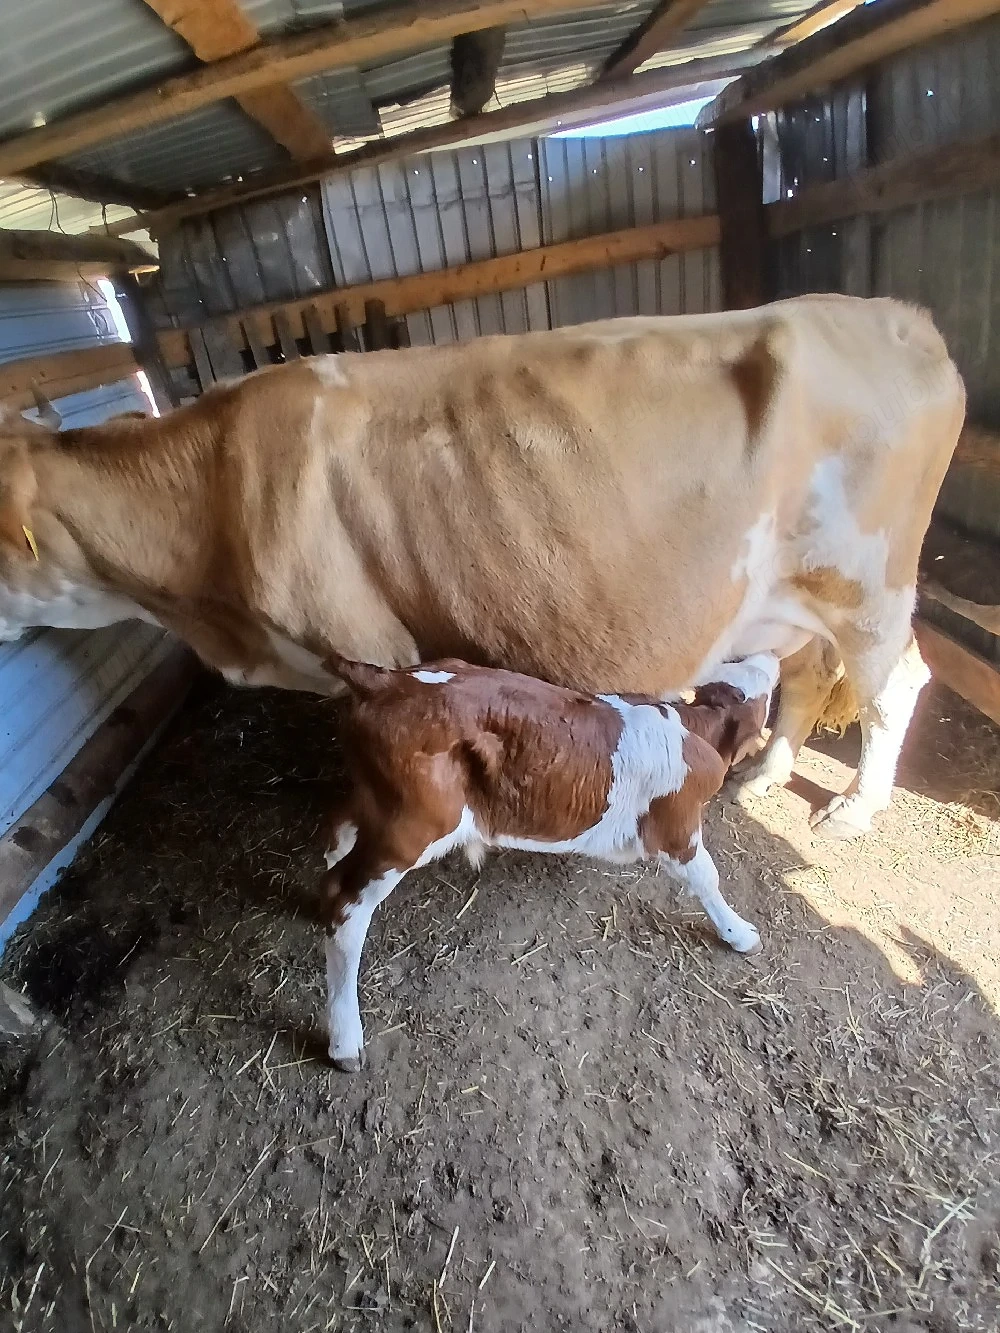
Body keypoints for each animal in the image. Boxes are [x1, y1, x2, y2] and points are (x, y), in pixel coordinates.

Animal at [0, 294, 966, 839]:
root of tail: (899, 314)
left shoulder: (371, 644)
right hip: (797, 593)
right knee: (808, 674)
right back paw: (763, 774)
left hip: (868, 584)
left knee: (894, 685)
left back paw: (854, 811)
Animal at [319, 650, 779, 1070]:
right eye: (760, 694)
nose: (774, 657)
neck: (689, 725)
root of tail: (387, 681)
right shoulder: (676, 827)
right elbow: (707, 878)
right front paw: (739, 934)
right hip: (414, 827)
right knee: (347, 905)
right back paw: (346, 1042)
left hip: (377, 804)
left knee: (337, 839)